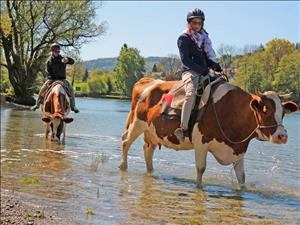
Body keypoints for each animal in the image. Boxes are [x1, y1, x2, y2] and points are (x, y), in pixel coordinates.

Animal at [119, 78, 298, 187]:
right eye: (266, 111)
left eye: (283, 112)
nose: (282, 136)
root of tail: (149, 80)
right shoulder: (201, 143)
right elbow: (201, 169)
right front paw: (198, 187)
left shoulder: (238, 150)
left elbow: (241, 177)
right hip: (137, 124)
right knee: (125, 142)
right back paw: (123, 166)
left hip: (152, 132)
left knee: (147, 150)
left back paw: (151, 171)